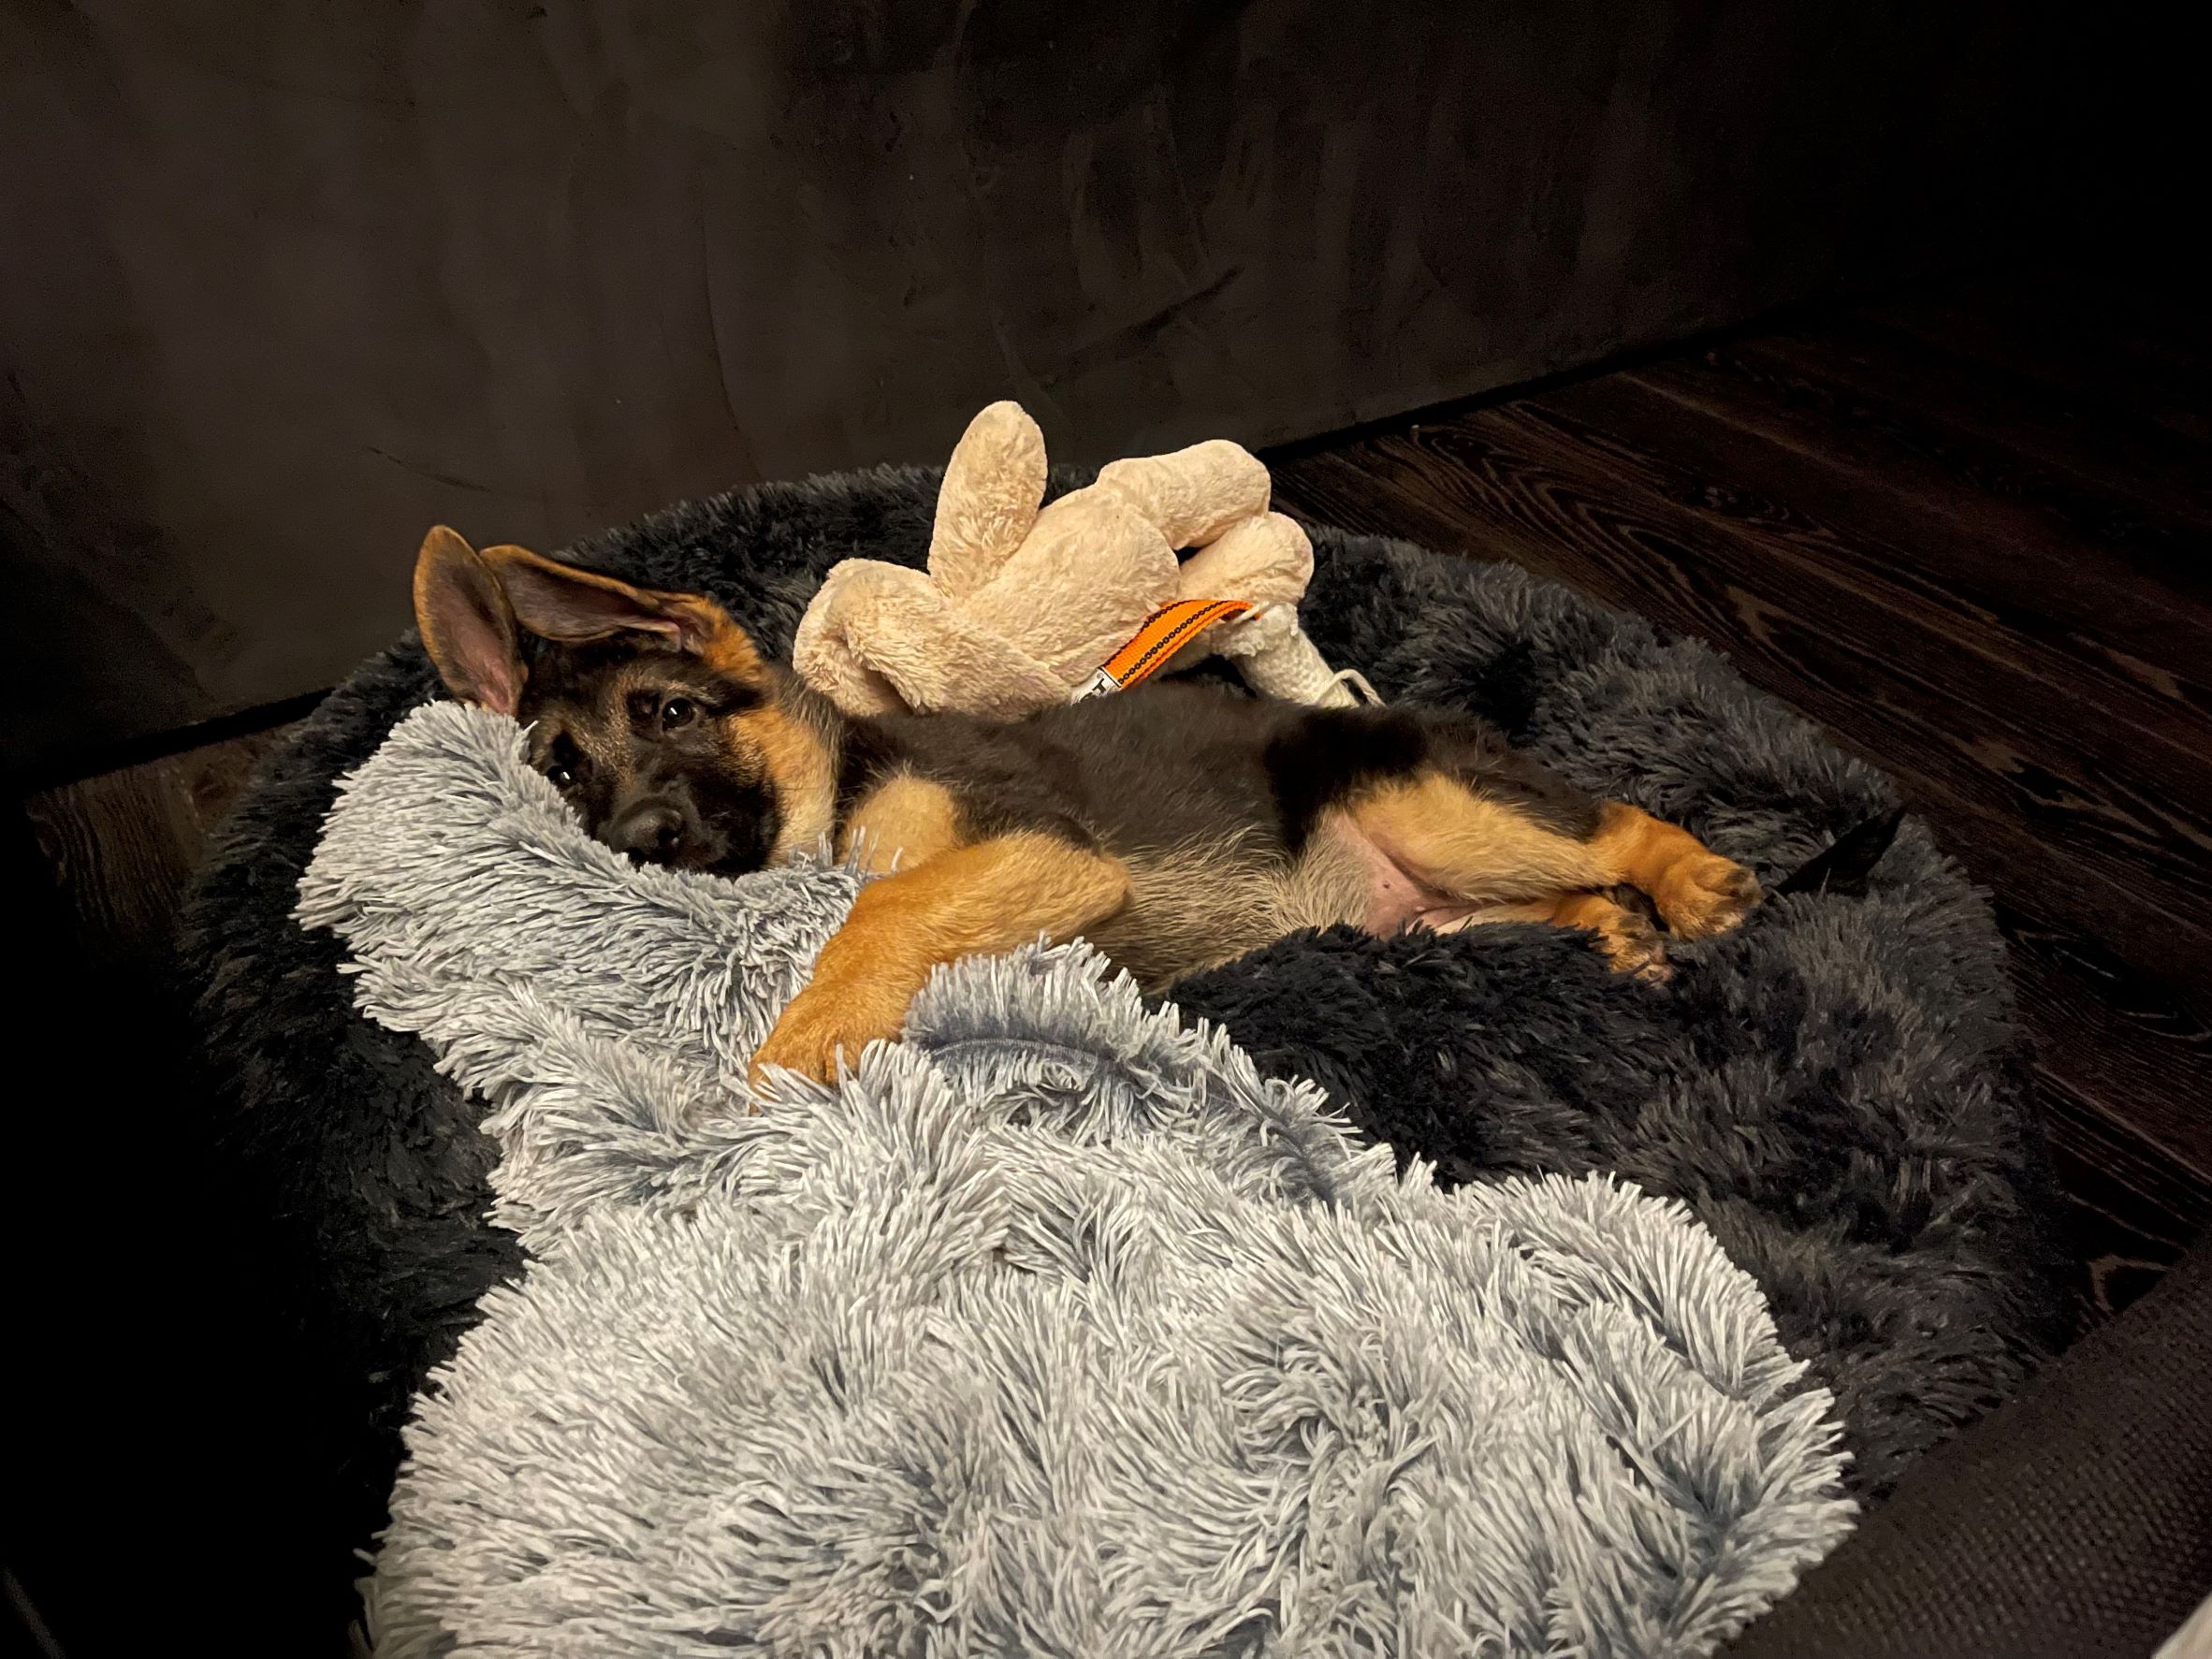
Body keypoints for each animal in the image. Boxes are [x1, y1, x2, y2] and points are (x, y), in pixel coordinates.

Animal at [415, 526, 1760, 1084]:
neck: (841, 786)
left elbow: (883, 909)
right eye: (563, 772)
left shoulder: (1040, 852)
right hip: (1430, 912)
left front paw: (804, 1043)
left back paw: (1690, 883)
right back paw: (1617, 936)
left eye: (673, 713)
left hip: (1436, 805)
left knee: (1613, 824)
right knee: (1551, 895)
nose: (640, 843)